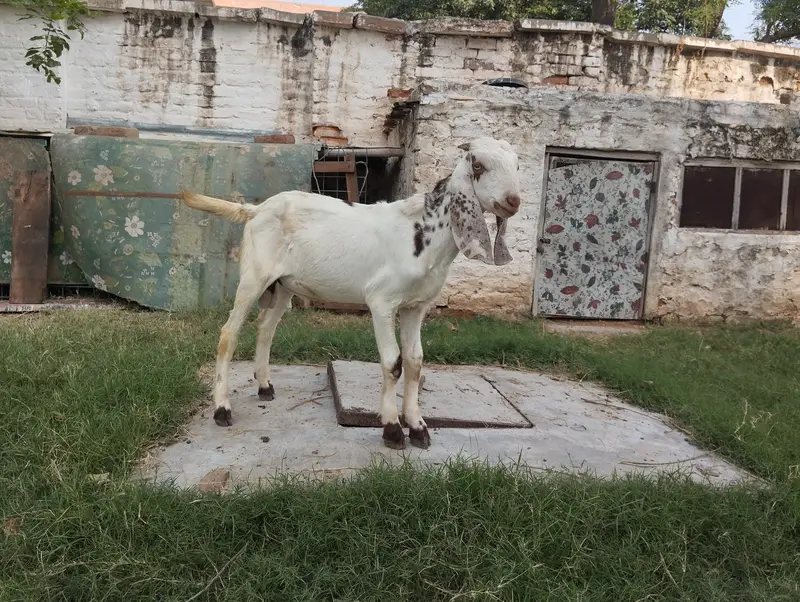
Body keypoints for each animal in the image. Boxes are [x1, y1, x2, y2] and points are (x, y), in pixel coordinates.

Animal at [179, 136, 521, 450]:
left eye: (517, 164)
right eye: (477, 165)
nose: (513, 200)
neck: (422, 235)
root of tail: (256, 209)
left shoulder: (416, 306)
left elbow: (415, 363)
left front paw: (418, 427)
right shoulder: (382, 301)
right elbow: (393, 363)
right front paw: (392, 430)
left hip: (285, 284)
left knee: (266, 326)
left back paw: (264, 386)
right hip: (254, 275)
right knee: (229, 333)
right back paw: (222, 409)